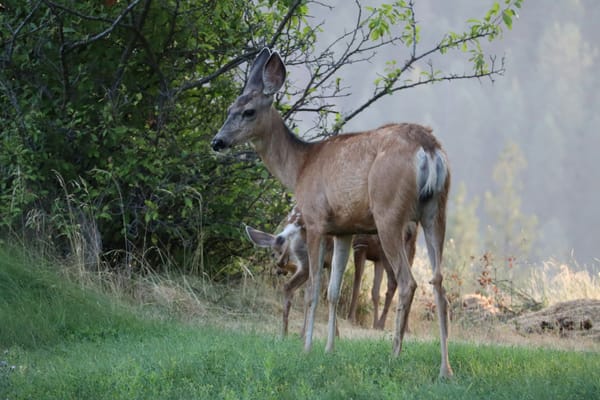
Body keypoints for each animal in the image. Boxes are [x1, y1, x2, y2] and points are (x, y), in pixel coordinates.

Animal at [213, 48, 452, 376]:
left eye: (248, 111)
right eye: (228, 108)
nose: (217, 141)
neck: (300, 167)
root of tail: (428, 148)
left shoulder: (315, 221)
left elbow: (313, 289)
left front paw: (306, 349)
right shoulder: (344, 229)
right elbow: (334, 291)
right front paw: (329, 350)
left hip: (389, 211)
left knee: (407, 282)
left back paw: (395, 356)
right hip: (436, 210)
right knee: (439, 281)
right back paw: (445, 369)